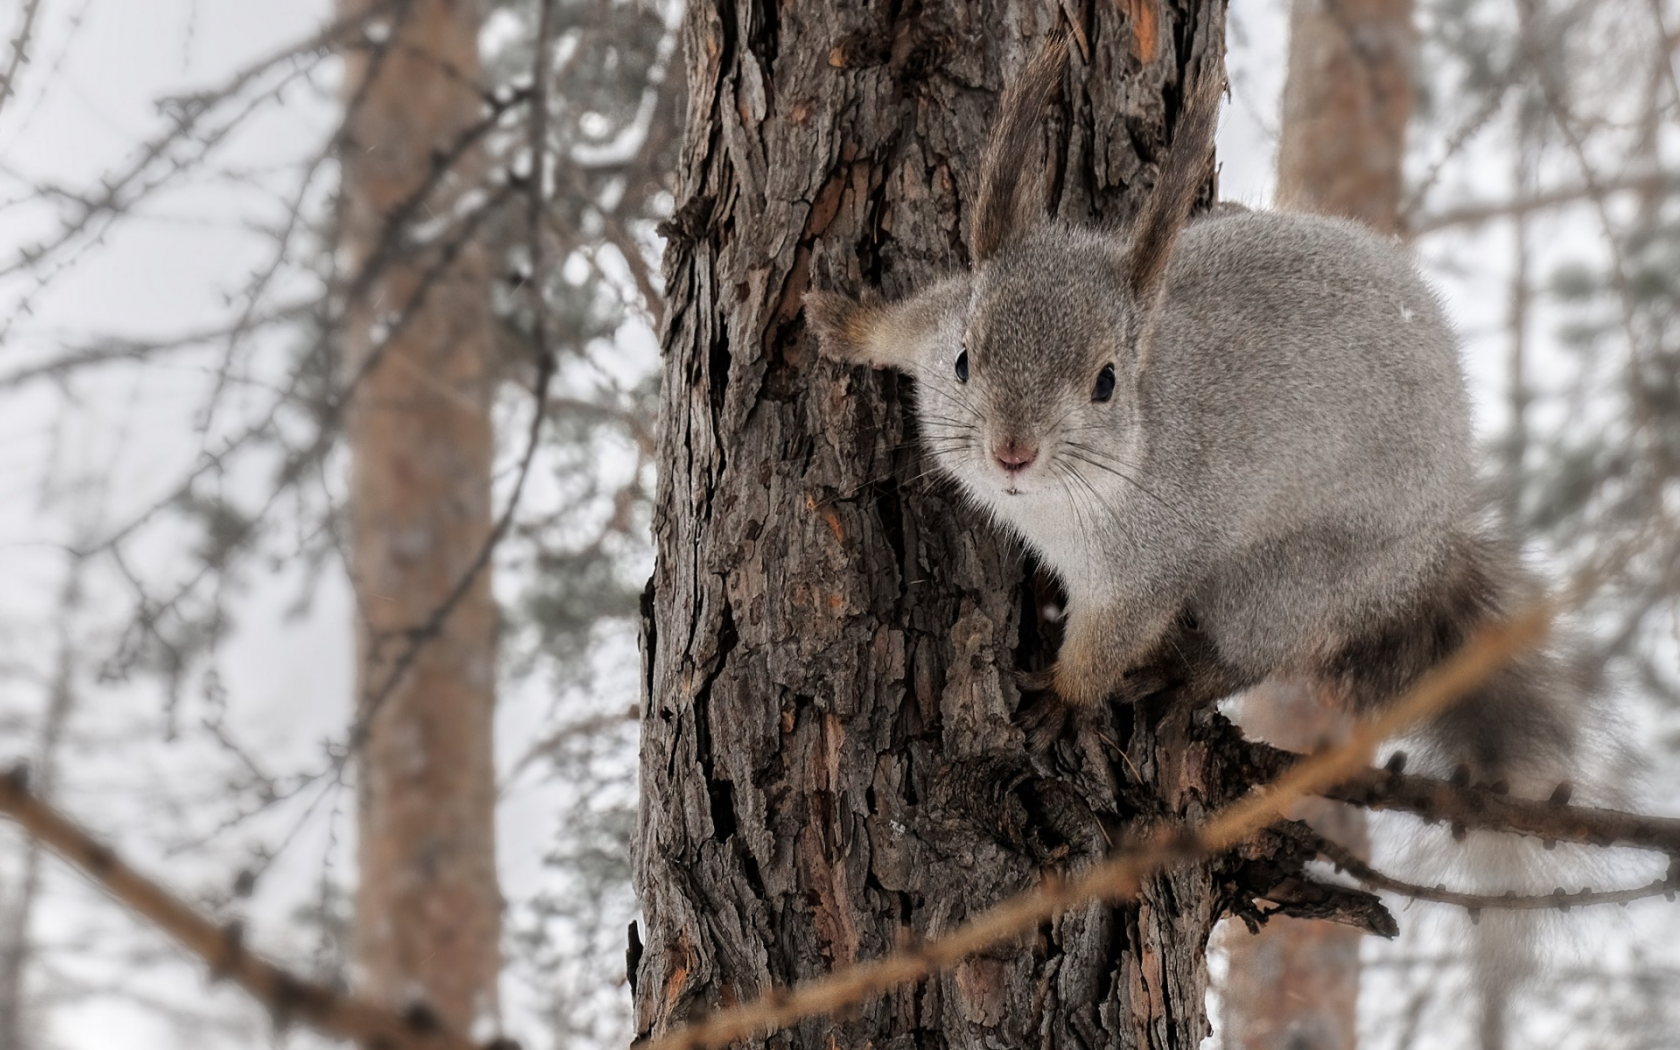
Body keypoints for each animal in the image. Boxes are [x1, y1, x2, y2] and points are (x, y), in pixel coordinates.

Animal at [799, 34, 1585, 803]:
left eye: (1107, 383)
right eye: (964, 360)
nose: (1010, 452)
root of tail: (1433, 549)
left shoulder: (1148, 565)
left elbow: (1110, 643)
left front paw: (1065, 699)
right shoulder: (937, 322)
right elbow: (904, 325)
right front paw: (844, 322)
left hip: (1286, 584)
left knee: (1253, 652)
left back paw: (1184, 675)